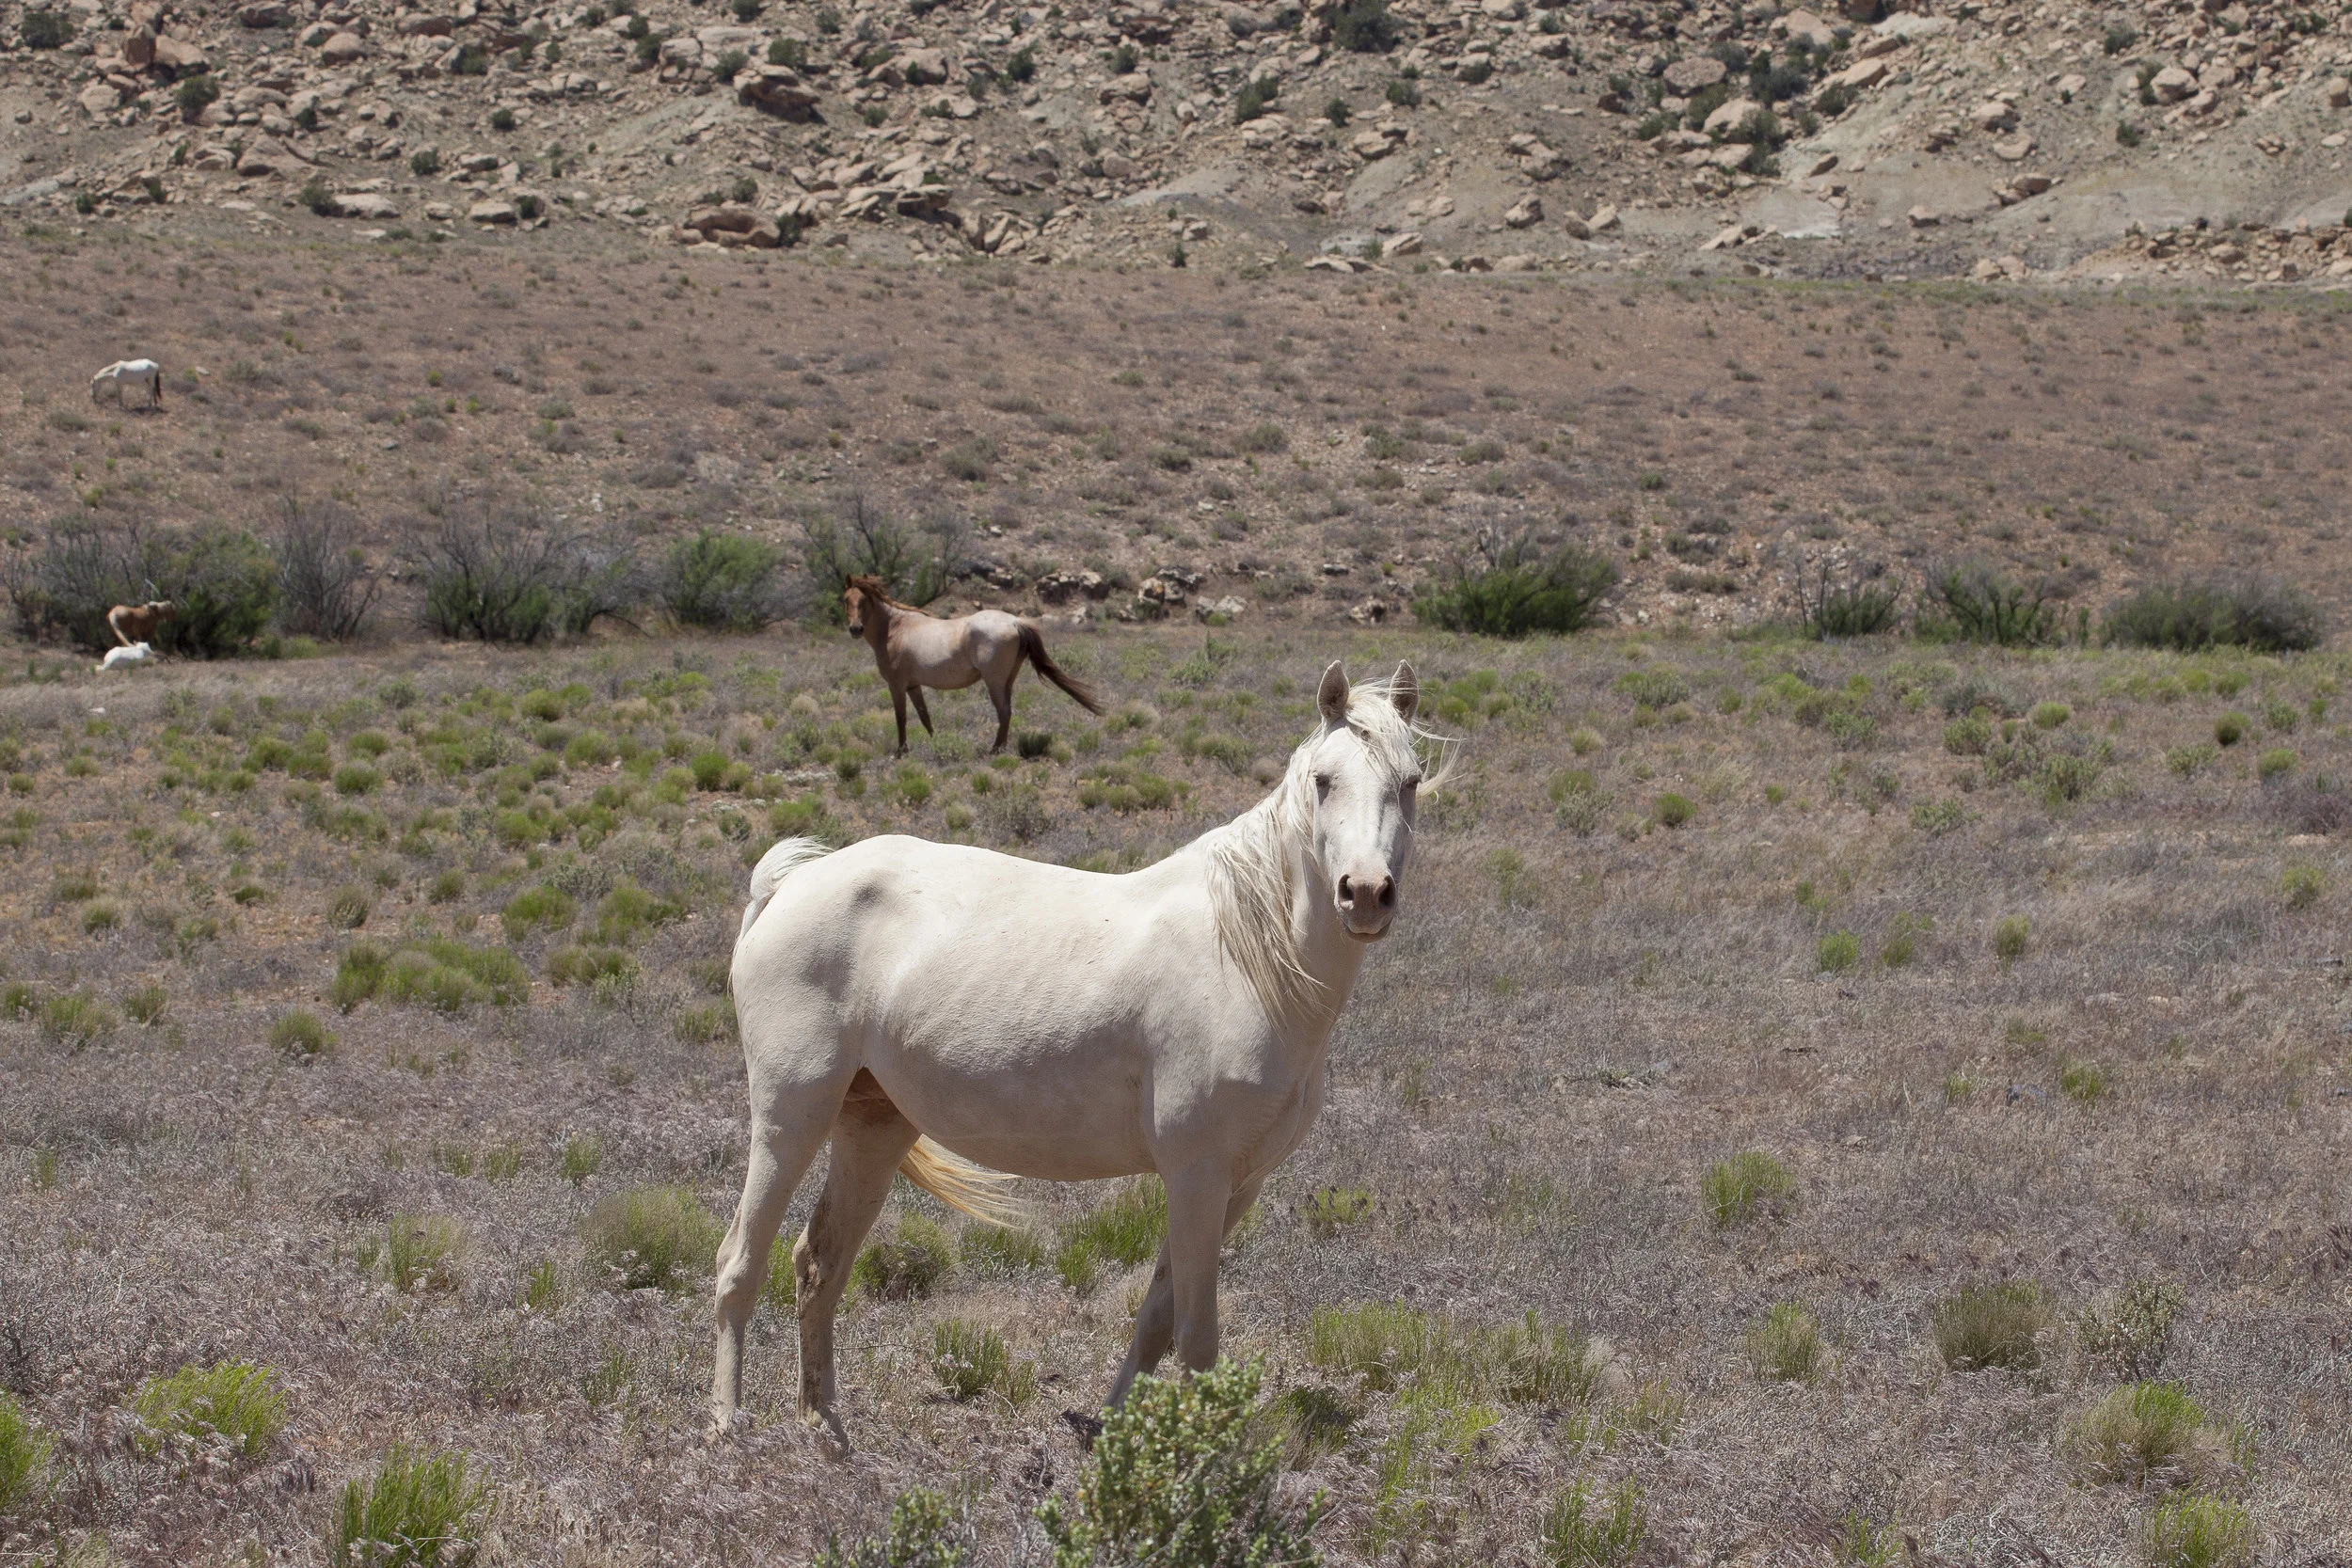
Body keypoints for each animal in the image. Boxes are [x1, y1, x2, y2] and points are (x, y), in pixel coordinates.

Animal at [710, 660, 1443, 1443]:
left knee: (819, 1264)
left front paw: (1118, 1427)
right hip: (791, 1116)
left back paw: (824, 1426)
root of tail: (786, 885)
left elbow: (1156, 1318)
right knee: (740, 1262)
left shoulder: (1237, 1184)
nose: (1365, 894)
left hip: (872, 1126)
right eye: (1324, 781)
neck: (1250, 958)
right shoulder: (1196, 1175)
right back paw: (726, 1423)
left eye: (1410, 781)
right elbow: (1198, 1337)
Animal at [843, 574, 1104, 753]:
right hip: (1007, 681)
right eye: (846, 599)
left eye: (865, 600)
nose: (855, 629)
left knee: (1004, 711)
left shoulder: (896, 686)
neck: (895, 629)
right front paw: (935, 742)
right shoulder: (913, 686)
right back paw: (1000, 747)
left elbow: (901, 718)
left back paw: (994, 750)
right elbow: (924, 716)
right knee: (1007, 711)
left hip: (994, 681)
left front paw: (900, 752)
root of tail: (1015, 622)